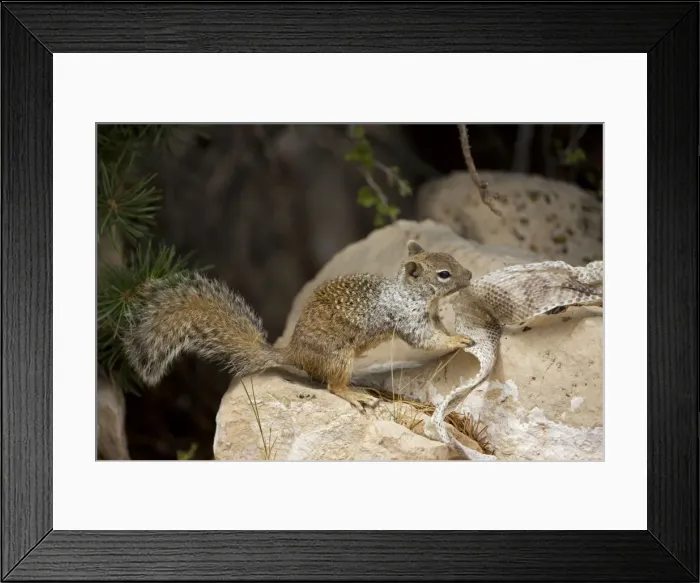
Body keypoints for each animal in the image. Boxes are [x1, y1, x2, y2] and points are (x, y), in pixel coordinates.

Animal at [122, 240, 476, 412]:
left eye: (452, 259)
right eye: (444, 274)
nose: (470, 275)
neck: (412, 293)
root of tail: (293, 354)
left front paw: (455, 330)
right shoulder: (407, 317)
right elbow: (426, 339)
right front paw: (457, 340)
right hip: (339, 357)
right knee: (333, 387)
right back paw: (355, 395)